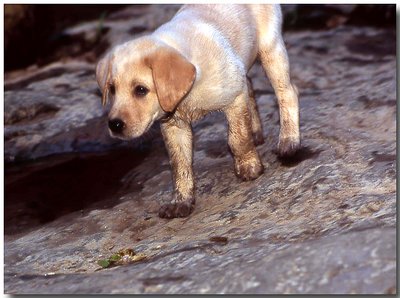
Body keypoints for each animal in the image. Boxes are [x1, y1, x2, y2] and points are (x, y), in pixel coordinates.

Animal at [95, 4, 298, 219]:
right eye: (112, 89)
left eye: (141, 90)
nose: (114, 124)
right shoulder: (174, 127)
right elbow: (180, 165)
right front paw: (181, 201)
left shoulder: (234, 97)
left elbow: (238, 139)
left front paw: (249, 166)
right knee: (250, 85)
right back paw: (257, 132)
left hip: (270, 49)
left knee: (287, 92)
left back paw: (289, 141)